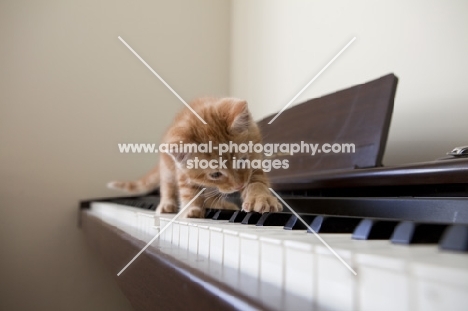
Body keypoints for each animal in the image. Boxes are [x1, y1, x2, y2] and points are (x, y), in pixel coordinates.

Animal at [108, 98, 282, 218]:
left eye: (242, 161)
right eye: (215, 174)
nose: (239, 185)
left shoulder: (255, 163)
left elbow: (257, 181)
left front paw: (261, 198)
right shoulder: (182, 171)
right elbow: (188, 188)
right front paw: (191, 209)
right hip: (167, 166)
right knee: (168, 185)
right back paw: (167, 204)